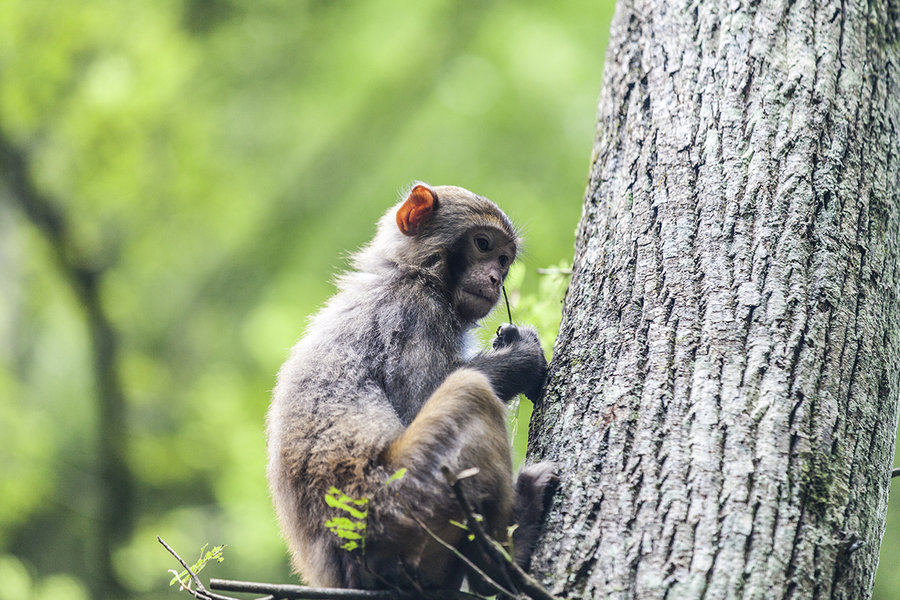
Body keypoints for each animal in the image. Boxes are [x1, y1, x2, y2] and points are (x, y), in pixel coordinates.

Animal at [264, 182, 556, 592]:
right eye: (483, 244)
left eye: (504, 260)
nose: (496, 280)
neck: (413, 272)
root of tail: (344, 574)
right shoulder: (415, 313)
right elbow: (419, 400)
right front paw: (524, 358)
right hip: (402, 506)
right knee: (470, 392)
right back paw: (508, 561)